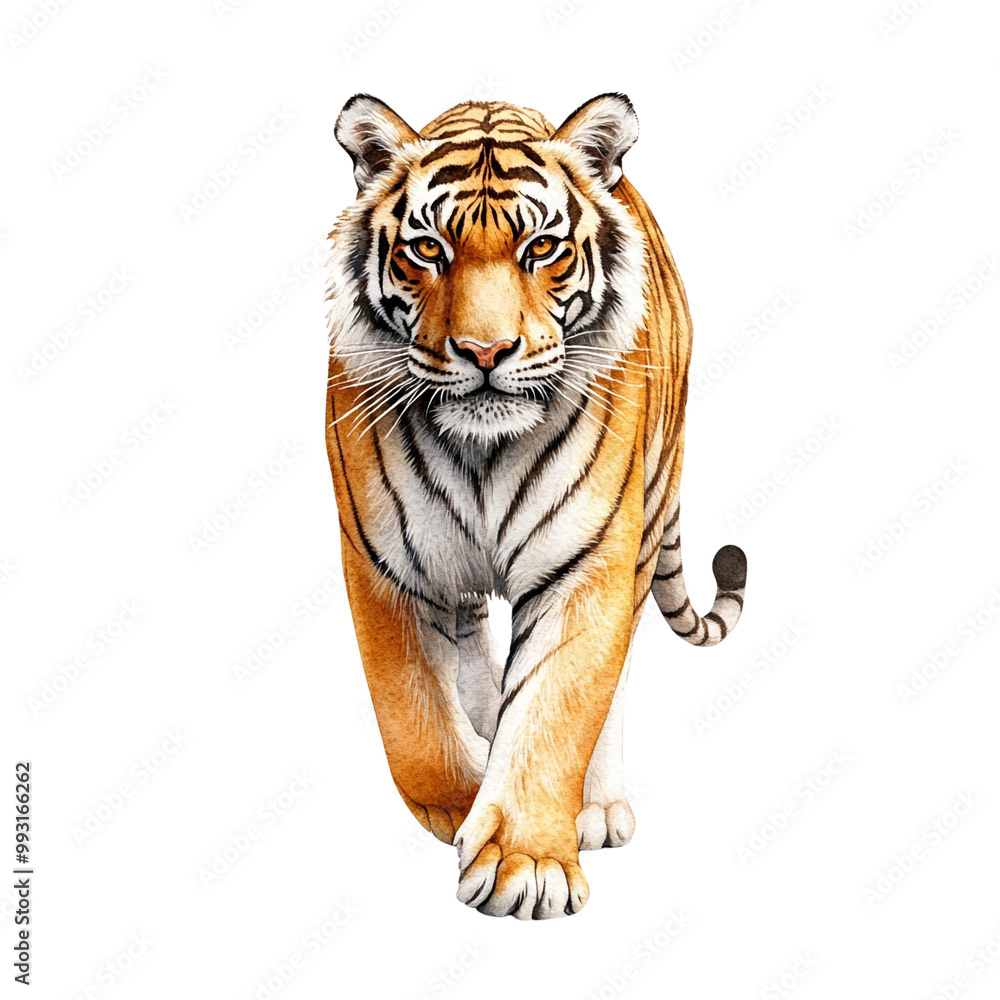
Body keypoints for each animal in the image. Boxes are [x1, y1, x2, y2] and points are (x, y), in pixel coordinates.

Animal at [325, 93, 747, 920]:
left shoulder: (587, 561)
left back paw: (595, 808)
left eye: (541, 247)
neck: (482, 453)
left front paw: (525, 863)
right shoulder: (386, 564)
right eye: (427, 250)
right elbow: (410, 717)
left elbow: (557, 705)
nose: (486, 353)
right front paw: (463, 802)